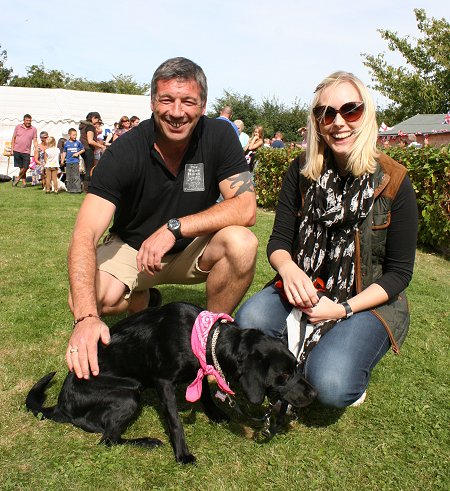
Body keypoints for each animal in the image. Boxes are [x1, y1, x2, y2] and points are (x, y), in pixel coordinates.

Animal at [25, 302, 316, 464]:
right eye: (283, 376)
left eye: (296, 367)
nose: (314, 393)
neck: (204, 338)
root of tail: (60, 405)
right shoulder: (163, 381)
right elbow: (176, 422)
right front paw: (183, 455)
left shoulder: (200, 369)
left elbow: (205, 393)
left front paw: (215, 414)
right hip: (128, 395)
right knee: (107, 440)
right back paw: (146, 442)